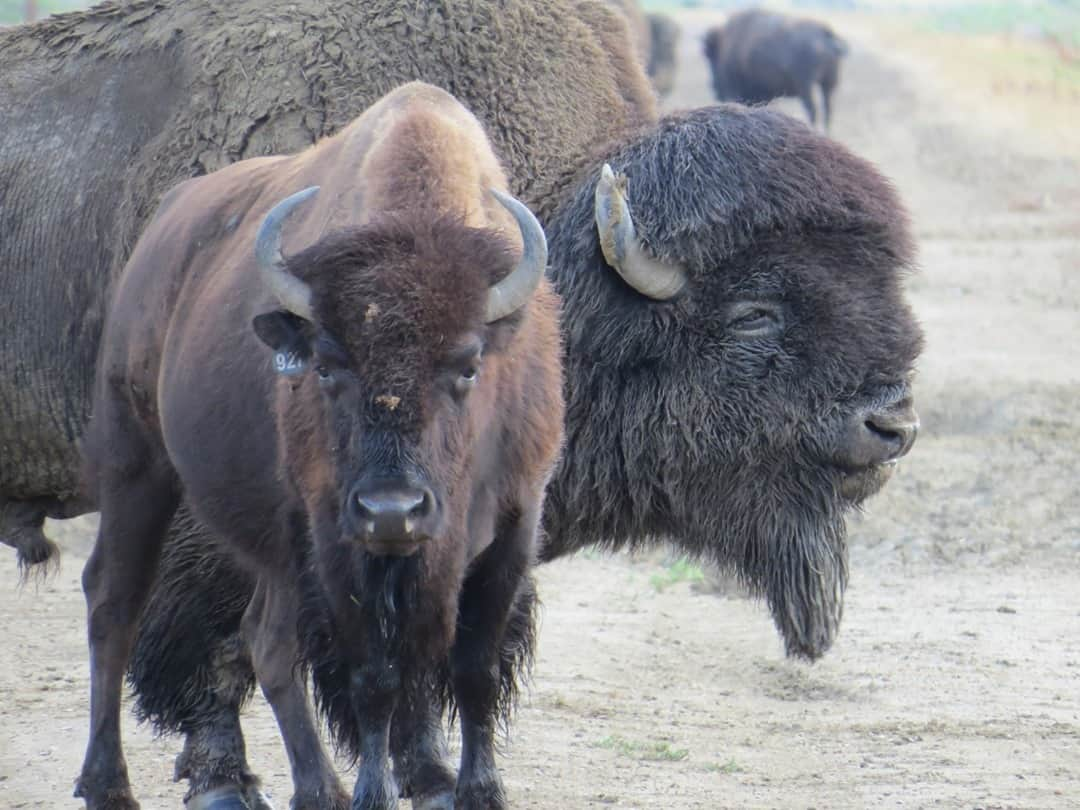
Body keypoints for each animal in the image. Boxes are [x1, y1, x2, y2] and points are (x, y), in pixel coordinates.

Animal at [76, 81, 565, 810]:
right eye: (328, 366)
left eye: (469, 365)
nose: (393, 510)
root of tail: (165, 226)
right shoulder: (338, 534)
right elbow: (374, 677)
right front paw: (375, 793)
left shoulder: (514, 520)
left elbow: (471, 667)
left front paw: (476, 791)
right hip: (135, 461)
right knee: (115, 600)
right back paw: (108, 784)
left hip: (275, 543)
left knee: (267, 639)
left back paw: (318, 786)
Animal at [699, 9, 851, 130]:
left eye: (710, 56)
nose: (714, 88)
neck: (725, 43)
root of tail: (824, 32)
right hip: (828, 84)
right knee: (827, 110)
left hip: (806, 86)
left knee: (813, 110)